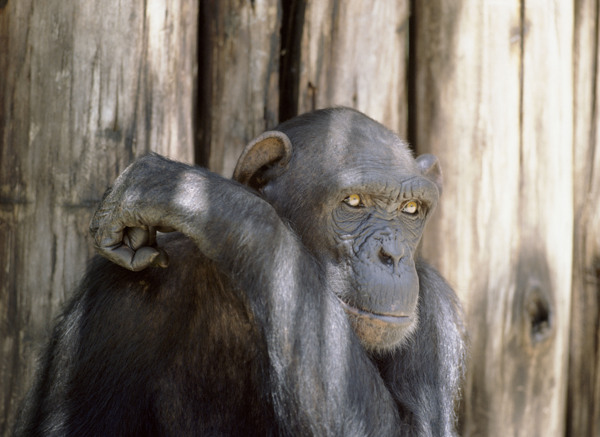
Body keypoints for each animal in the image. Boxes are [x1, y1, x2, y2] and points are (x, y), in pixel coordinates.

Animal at [12, 106, 464, 436]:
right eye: (353, 203)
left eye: (411, 210)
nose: (392, 254)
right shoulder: (115, 299)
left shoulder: (436, 316)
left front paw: (200, 195)